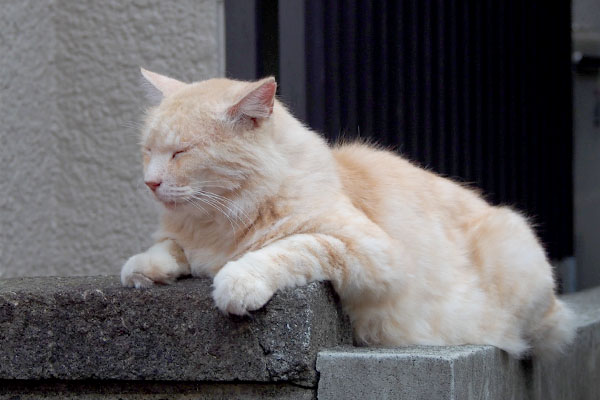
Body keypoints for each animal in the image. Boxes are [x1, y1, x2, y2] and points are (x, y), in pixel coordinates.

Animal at [122, 67, 576, 358]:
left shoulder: (369, 250)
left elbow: (287, 248)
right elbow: (168, 249)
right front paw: (143, 269)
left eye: (181, 153)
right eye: (148, 151)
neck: (219, 222)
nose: (150, 182)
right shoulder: (182, 238)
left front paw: (236, 281)